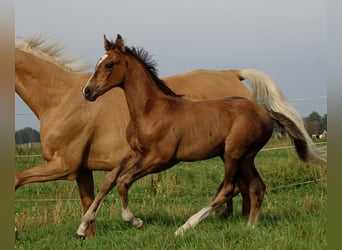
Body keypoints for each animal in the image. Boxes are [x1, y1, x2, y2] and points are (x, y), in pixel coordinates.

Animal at [77, 34, 326, 236]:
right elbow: (109, 180)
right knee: (256, 186)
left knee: (230, 188)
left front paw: (135, 221)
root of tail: (265, 112)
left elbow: (123, 181)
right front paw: (82, 227)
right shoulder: (136, 153)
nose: (87, 92)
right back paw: (250, 226)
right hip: (244, 156)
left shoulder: (160, 159)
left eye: (109, 64)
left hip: (234, 153)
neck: (150, 110)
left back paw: (185, 227)